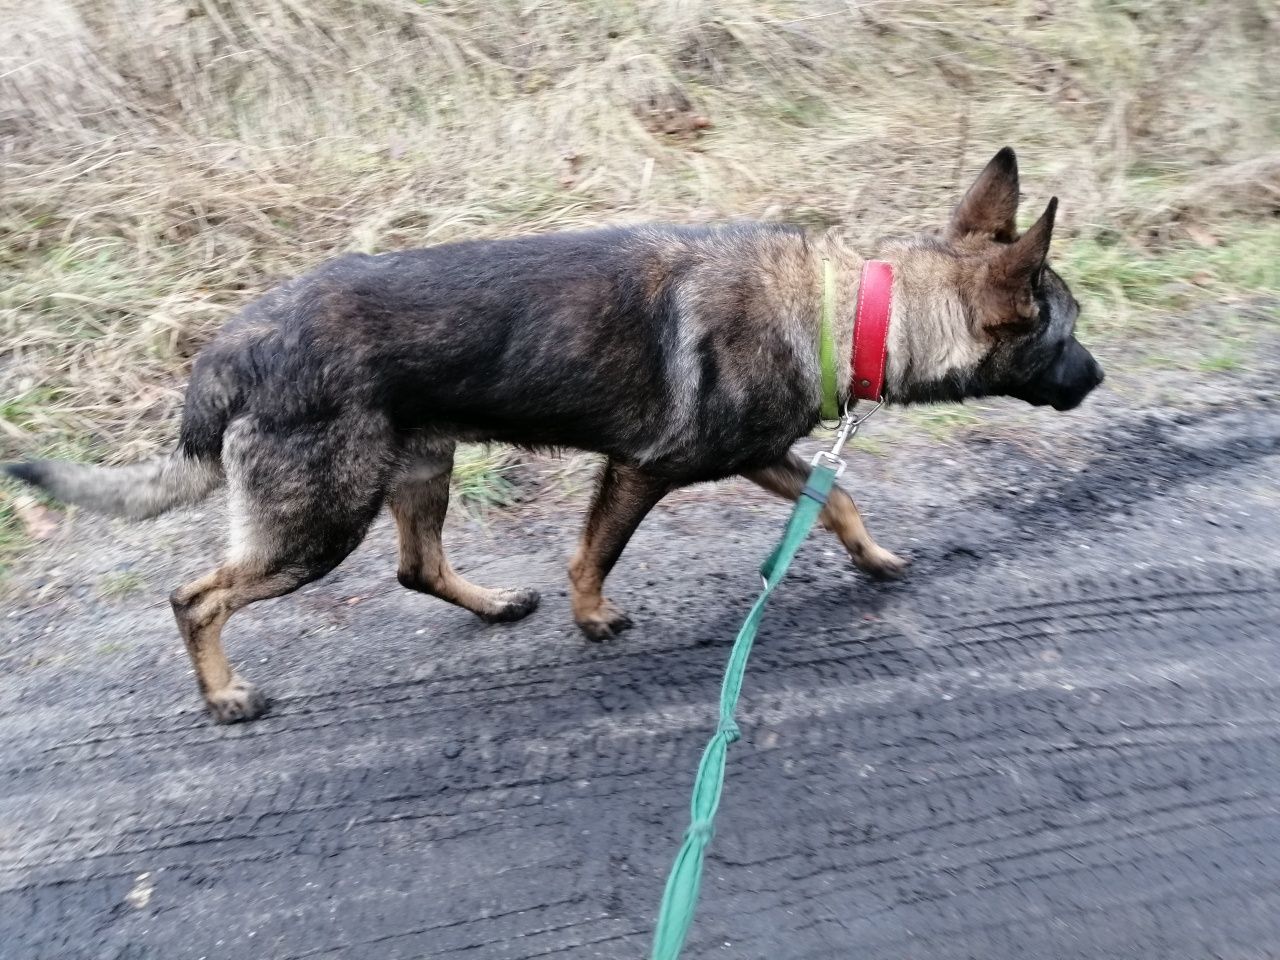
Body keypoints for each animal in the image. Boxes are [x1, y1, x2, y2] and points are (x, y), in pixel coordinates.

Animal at [5, 146, 1100, 727]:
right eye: (1069, 332)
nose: (1096, 380)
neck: (853, 310)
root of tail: (232, 345)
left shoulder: (762, 459)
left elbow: (838, 498)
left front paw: (871, 558)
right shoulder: (643, 470)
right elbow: (595, 553)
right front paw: (592, 616)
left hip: (419, 469)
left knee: (415, 567)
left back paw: (491, 605)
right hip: (319, 523)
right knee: (196, 596)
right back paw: (226, 694)